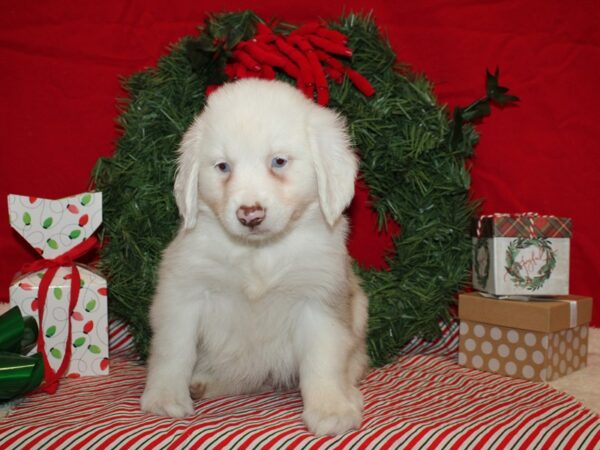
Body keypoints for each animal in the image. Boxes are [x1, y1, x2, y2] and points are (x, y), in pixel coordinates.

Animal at [141, 78, 370, 436]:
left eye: (279, 162)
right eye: (223, 166)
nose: (250, 215)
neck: (258, 253)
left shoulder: (320, 301)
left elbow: (324, 360)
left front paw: (331, 408)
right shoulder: (183, 293)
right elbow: (173, 349)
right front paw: (164, 398)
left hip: (359, 313)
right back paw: (202, 383)